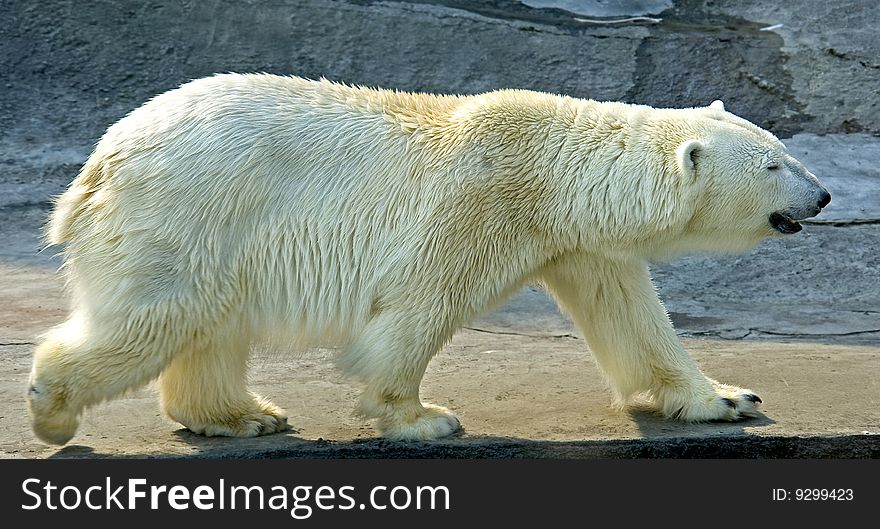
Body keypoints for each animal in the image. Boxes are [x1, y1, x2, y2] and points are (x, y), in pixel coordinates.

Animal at [24, 74, 828, 444]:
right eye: (773, 165)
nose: (822, 195)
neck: (554, 174)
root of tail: (99, 161)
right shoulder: (479, 203)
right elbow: (419, 305)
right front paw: (422, 416)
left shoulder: (583, 243)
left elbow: (633, 317)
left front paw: (727, 398)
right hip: (189, 213)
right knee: (156, 317)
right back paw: (53, 407)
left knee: (210, 326)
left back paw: (244, 414)